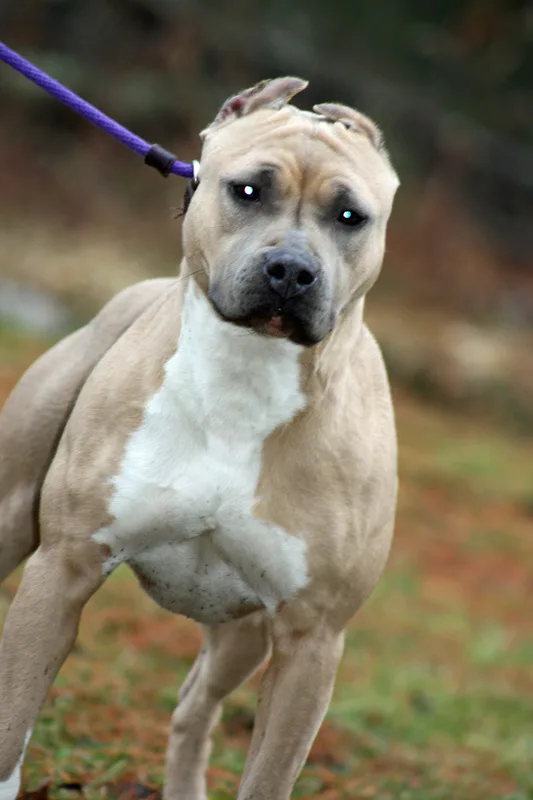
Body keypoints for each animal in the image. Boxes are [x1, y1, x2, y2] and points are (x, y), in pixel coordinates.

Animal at [0, 77, 399, 800]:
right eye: (247, 190)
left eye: (350, 216)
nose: (290, 270)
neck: (244, 378)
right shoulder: (61, 569)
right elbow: (11, 731)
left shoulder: (311, 640)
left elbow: (268, 776)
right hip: (11, 513)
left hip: (245, 634)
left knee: (194, 704)